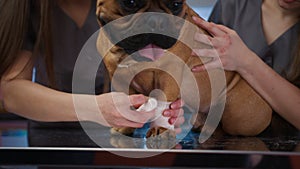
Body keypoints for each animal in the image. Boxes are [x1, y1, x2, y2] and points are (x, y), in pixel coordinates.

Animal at [95, 0, 272, 138]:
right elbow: (127, 106)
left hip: (236, 115)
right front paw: (125, 126)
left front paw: (161, 129)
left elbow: (164, 105)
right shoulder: (119, 80)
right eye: (130, 2)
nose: (157, 21)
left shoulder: (168, 77)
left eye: (176, 4)